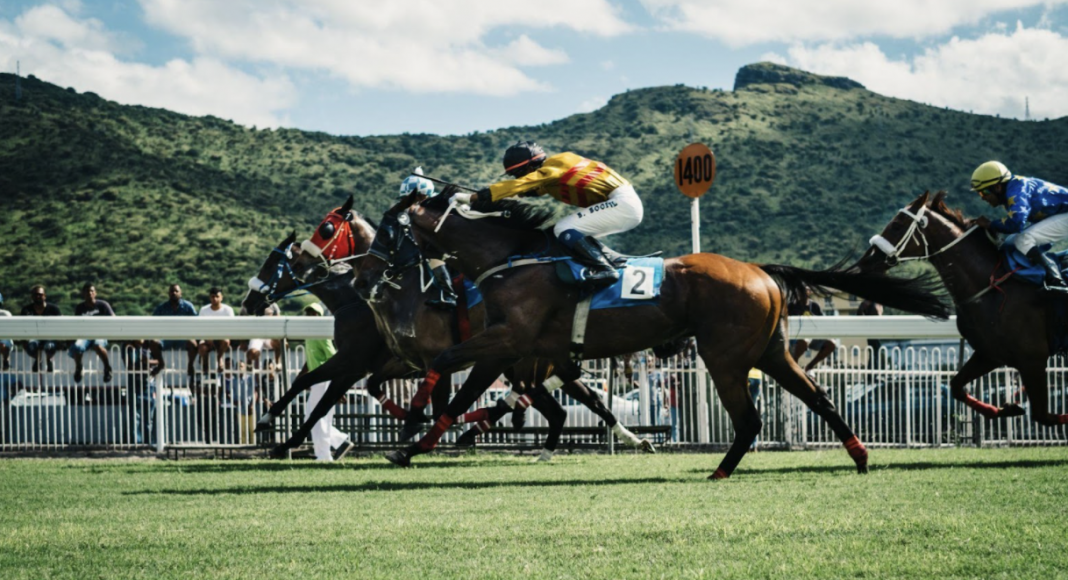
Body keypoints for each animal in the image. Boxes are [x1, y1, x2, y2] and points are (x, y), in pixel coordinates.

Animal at [356, 192, 951, 477]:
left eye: (387, 228)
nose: (369, 275)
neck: (512, 258)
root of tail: (759, 271)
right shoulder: (517, 351)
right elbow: (465, 395)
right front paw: (413, 443)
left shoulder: (506, 343)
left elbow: (447, 374)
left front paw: (410, 427)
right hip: (770, 352)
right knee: (818, 398)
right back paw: (859, 455)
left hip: (724, 356)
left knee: (751, 418)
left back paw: (720, 471)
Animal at [855, 190, 1068, 427]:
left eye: (897, 225)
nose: (866, 260)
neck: (991, 286)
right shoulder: (990, 354)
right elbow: (956, 386)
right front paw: (1005, 409)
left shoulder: (1032, 359)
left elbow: (1043, 415)